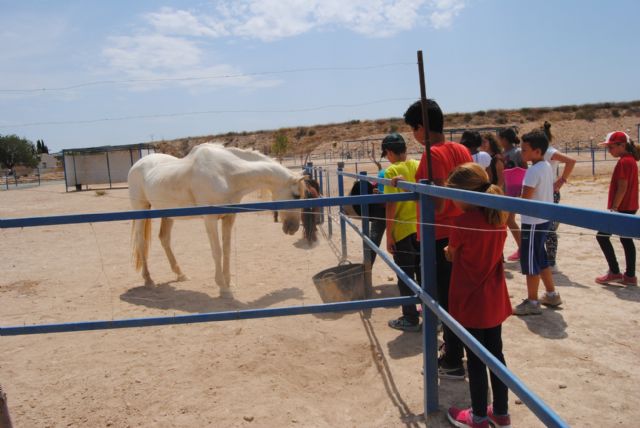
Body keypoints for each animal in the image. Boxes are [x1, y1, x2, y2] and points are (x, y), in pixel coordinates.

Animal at [127, 142, 304, 292]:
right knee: (141, 241)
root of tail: (137, 165)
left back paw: (180, 274)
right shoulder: (210, 219)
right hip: (141, 210)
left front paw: (228, 282)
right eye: (296, 195)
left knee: (164, 239)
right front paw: (222, 285)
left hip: (168, 213)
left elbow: (227, 249)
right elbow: (217, 251)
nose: (294, 227)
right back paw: (149, 280)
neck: (226, 173)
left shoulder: (229, 218)